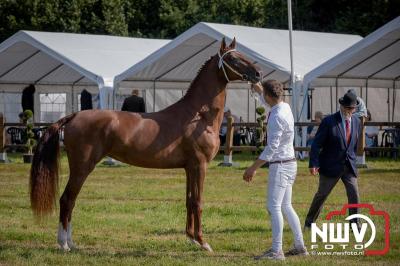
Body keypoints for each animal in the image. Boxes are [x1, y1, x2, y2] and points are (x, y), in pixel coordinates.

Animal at [29, 37, 260, 251]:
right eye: (233, 58)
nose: (258, 74)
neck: (198, 116)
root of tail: (74, 115)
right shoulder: (200, 165)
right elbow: (198, 201)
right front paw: (203, 243)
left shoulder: (189, 168)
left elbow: (189, 200)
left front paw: (191, 238)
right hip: (82, 167)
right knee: (67, 200)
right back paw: (64, 244)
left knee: (71, 201)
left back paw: (71, 243)